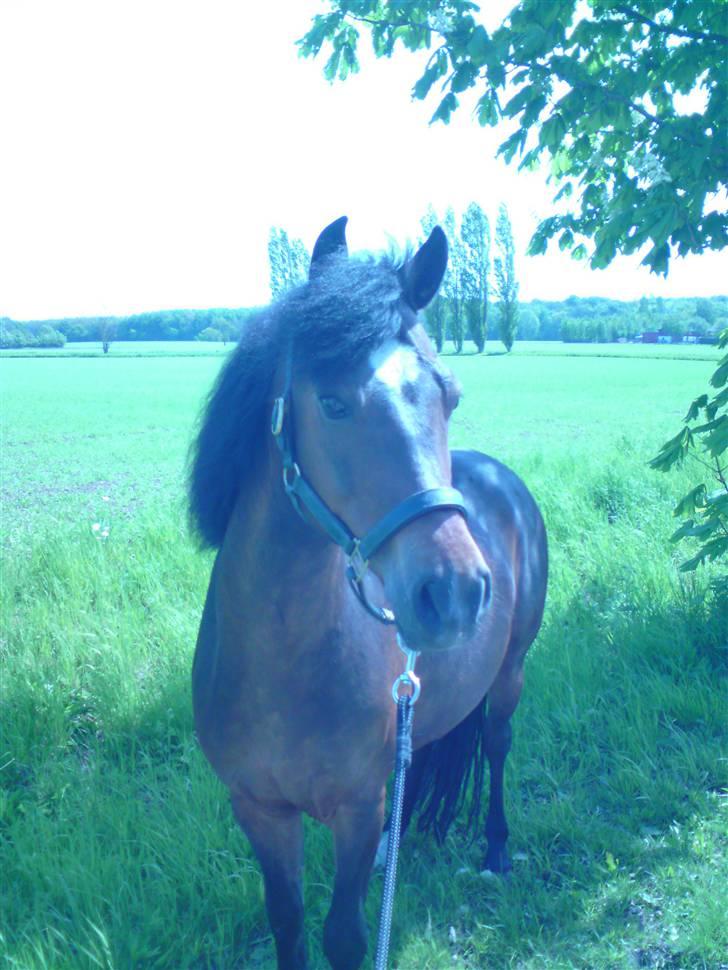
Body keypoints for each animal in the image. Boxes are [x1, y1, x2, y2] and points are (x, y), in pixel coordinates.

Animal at [189, 217, 548, 970]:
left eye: (449, 395)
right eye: (331, 402)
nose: (456, 592)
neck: (281, 667)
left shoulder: (355, 808)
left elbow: (346, 937)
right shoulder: (260, 810)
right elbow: (288, 920)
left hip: (511, 672)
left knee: (497, 744)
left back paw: (496, 849)